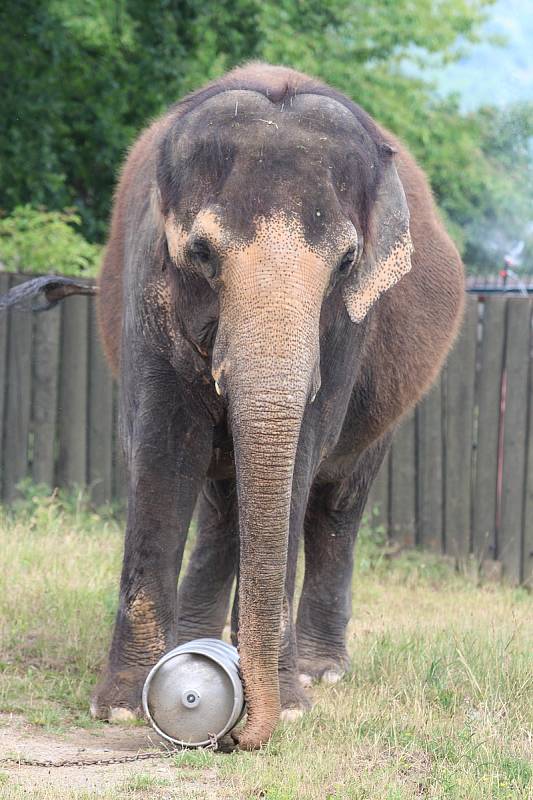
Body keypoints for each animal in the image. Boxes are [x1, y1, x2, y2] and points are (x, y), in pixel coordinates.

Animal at [4, 64, 462, 752]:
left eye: (347, 262)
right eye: (202, 254)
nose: (243, 733)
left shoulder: (348, 328)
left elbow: (302, 455)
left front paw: (292, 707)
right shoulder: (149, 286)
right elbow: (164, 453)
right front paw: (124, 708)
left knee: (338, 501)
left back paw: (320, 671)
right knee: (223, 501)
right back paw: (197, 639)